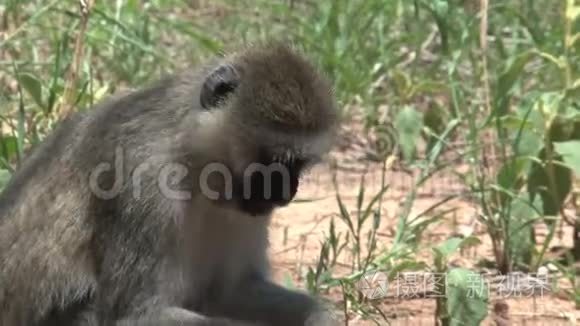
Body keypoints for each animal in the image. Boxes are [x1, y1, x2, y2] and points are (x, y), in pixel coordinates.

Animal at [0, 44, 340, 326]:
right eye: (275, 161)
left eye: (298, 166)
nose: (286, 191)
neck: (193, 159)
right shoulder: (143, 178)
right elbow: (134, 315)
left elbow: (230, 291)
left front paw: (317, 315)